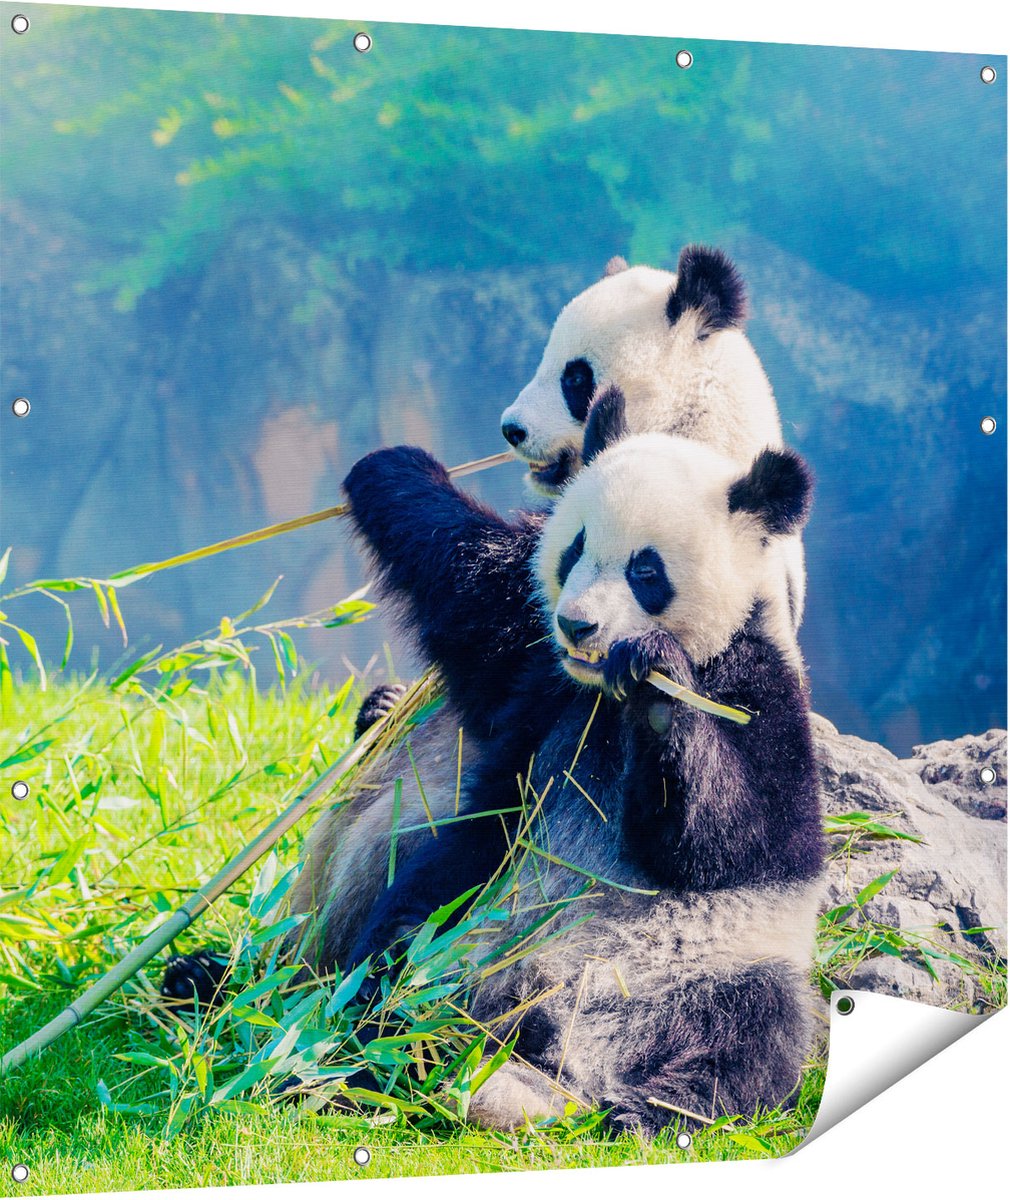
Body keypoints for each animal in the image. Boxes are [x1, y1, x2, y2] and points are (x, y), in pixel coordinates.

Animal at [336, 387, 824, 1132]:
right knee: (402, 942)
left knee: (756, 1036)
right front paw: (393, 468)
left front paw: (658, 687)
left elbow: (739, 838)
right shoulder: (543, 685)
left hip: (719, 964)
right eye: (574, 549)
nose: (578, 625)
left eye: (646, 570)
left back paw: (650, 1109)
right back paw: (382, 1048)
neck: (602, 696)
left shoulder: (759, 685)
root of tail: (560, 1048)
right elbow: (475, 605)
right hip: (473, 913)